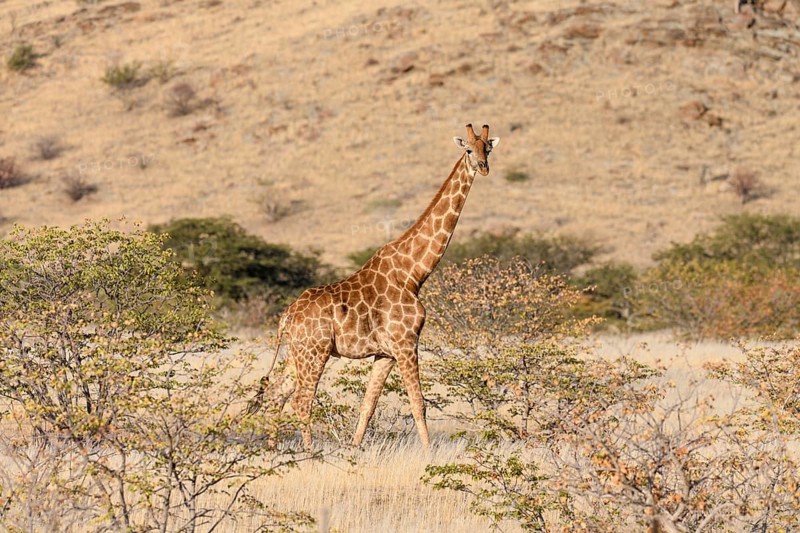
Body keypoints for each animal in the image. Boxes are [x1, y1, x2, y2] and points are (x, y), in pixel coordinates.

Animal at [249, 124, 500, 449]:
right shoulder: (406, 343)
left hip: (298, 351)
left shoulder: (385, 353)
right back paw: (309, 452)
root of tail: (286, 316)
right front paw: (428, 453)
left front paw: (355, 448)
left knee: (276, 394)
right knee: (301, 401)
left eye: (488, 149)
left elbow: (368, 405)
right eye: (469, 149)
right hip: (315, 351)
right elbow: (418, 403)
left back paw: (273, 451)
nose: (483, 167)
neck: (413, 273)